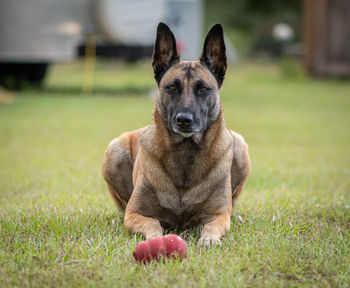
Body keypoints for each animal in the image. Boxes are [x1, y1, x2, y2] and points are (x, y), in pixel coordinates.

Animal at [102, 23, 250, 248]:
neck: (185, 154)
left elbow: (213, 225)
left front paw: (209, 239)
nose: (184, 120)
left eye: (203, 89)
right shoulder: (135, 214)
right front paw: (156, 239)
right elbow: (152, 223)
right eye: (172, 87)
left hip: (240, 148)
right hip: (114, 150)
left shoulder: (218, 215)